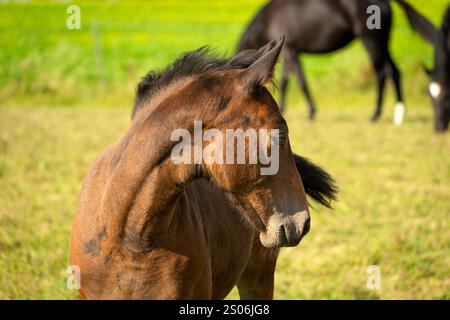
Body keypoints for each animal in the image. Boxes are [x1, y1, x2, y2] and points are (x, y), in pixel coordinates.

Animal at [239, 0, 404, 124]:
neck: (269, 19)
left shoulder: (291, 51)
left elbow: (300, 81)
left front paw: (310, 112)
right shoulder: (288, 53)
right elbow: (287, 80)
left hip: (371, 42)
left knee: (381, 73)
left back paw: (375, 114)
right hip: (383, 44)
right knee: (394, 71)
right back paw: (398, 115)